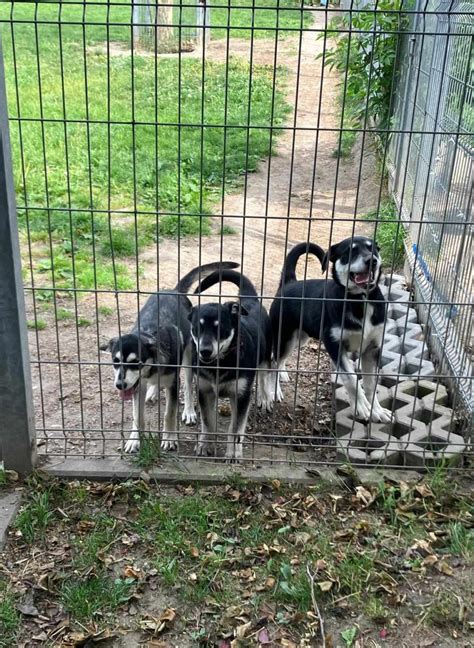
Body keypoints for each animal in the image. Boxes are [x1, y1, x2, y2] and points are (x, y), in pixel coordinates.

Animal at [102, 260, 239, 454]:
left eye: (136, 362)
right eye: (115, 361)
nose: (120, 385)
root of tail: (174, 291)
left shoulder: (173, 384)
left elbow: (169, 413)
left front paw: (169, 439)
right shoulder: (137, 386)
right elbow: (137, 416)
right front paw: (134, 440)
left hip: (189, 359)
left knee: (188, 386)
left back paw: (188, 411)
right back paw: (153, 392)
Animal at [270, 240, 392, 422]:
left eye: (372, 249)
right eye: (349, 251)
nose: (372, 261)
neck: (360, 300)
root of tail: (289, 282)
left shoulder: (372, 349)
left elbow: (371, 385)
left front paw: (377, 410)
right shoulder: (336, 347)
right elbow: (352, 379)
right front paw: (362, 407)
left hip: (299, 338)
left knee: (280, 360)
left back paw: (282, 374)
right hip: (284, 337)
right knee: (272, 362)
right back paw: (273, 391)